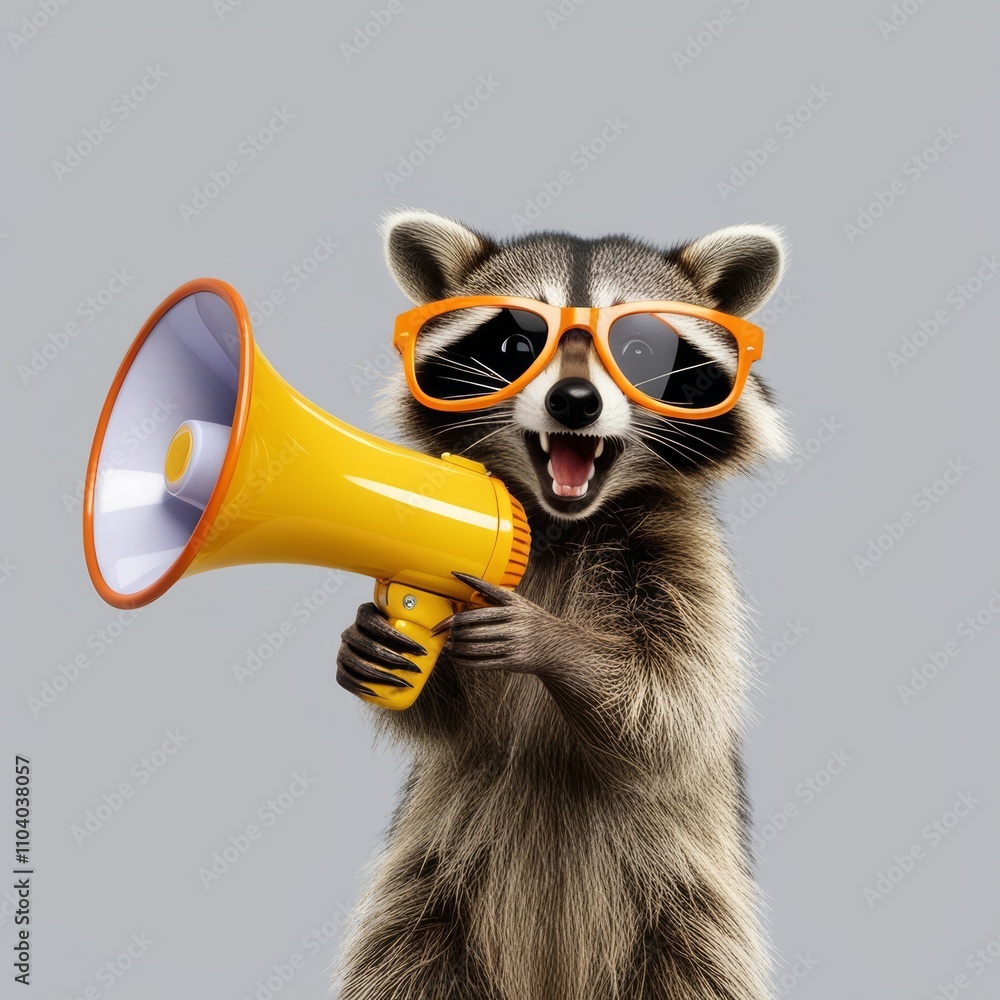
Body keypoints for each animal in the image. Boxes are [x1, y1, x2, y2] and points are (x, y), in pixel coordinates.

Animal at [333, 209, 790, 1000]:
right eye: (516, 343)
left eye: (639, 348)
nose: (574, 403)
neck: (560, 523)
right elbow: (451, 723)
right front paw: (379, 640)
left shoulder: (684, 555)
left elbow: (674, 706)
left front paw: (554, 643)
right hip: (427, 901)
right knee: (400, 960)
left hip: (687, 917)